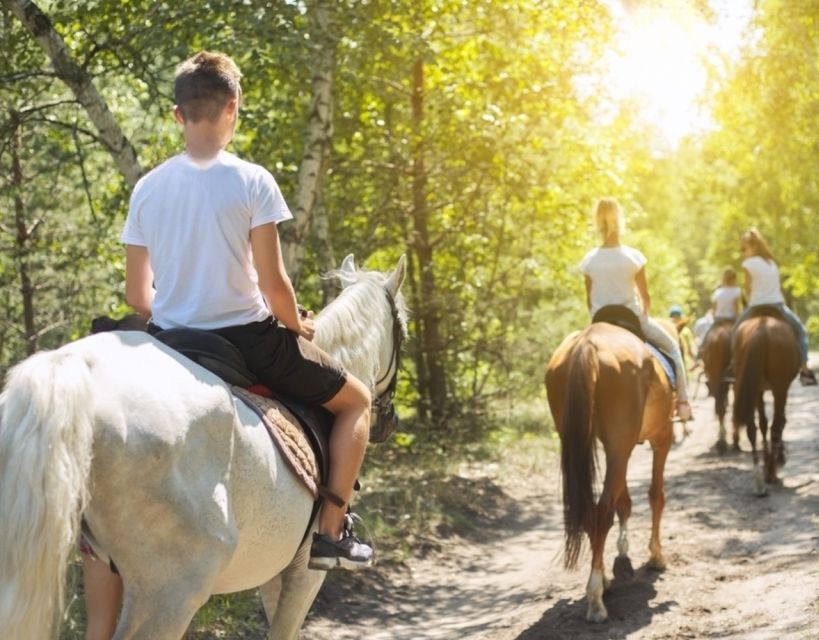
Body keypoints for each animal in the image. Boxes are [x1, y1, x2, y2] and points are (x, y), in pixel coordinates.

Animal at [0, 252, 408, 636]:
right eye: (403, 329)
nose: (389, 422)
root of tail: (73, 366)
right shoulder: (305, 573)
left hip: (102, 568)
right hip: (172, 590)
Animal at [544, 322, 672, 624]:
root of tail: (587, 344)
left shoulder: (621, 449)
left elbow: (624, 502)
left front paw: (622, 559)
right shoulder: (662, 439)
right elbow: (655, 496)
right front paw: (656, 556)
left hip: (584, 442)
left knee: (593, 512)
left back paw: (601, 582)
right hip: (619, 445)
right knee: (602, 512)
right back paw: (596, 600)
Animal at [732, 316, 796, 496]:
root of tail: (761, 329)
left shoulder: (759, 390)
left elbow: (762, 424)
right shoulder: (780, 389)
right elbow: (780, 423)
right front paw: (778, 458)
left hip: (752, 386)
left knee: (752, 429)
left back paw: (759, 480)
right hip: (780, 388)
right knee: (775, 427)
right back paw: (771, 474)